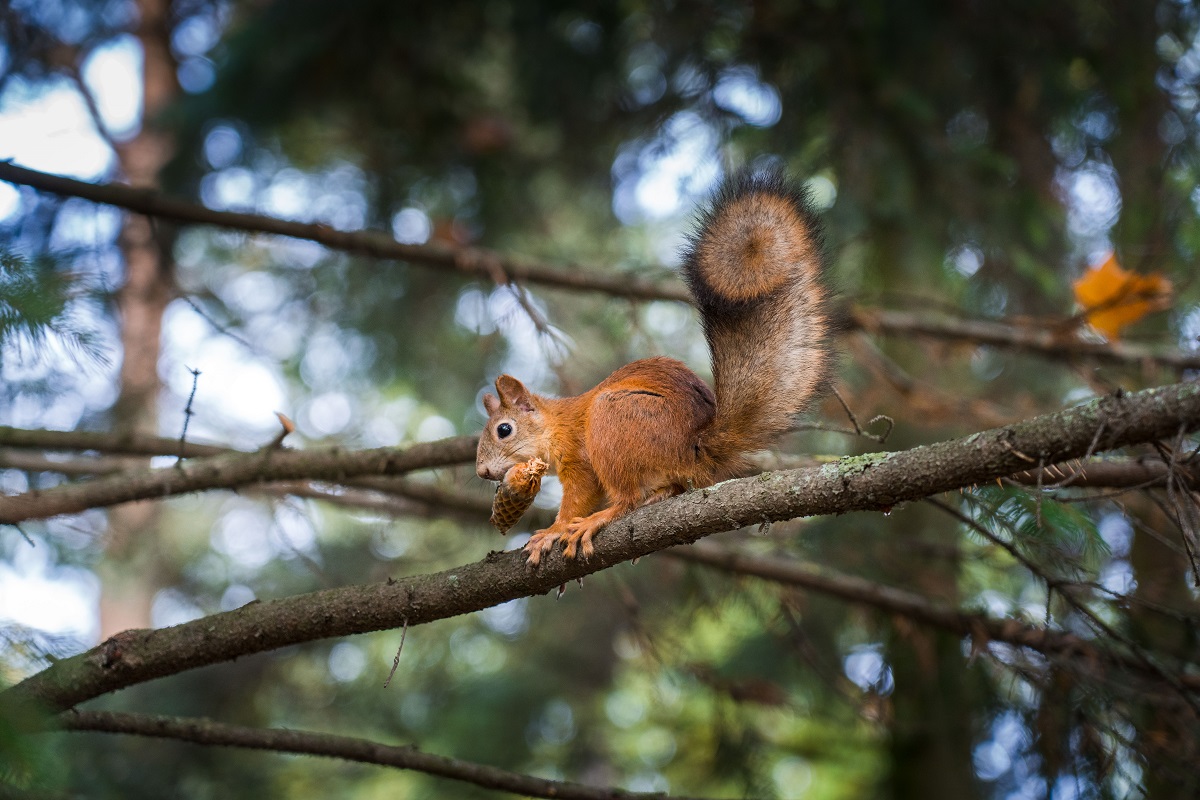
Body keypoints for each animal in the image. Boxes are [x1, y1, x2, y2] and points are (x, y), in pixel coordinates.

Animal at [472, 172, 830, 566]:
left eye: (504, 430)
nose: (482, 472)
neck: (555, 424)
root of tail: (695, 447)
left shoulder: (579, 460)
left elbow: (580, 496)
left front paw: (553, 530)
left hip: (615, 418)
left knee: (627, 500)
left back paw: (598, 520)